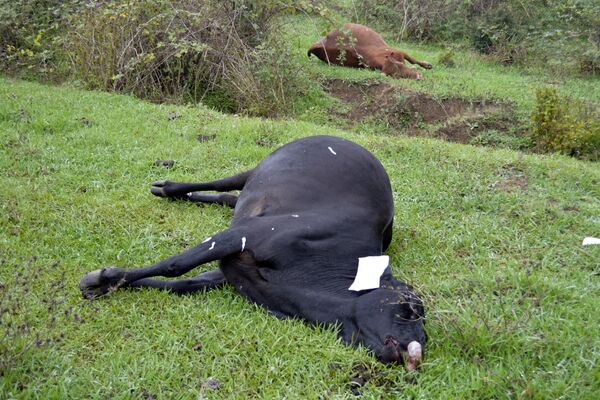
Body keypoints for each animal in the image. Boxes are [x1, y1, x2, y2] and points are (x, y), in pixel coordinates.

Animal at [79, 136, 426, 370]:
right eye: (410, 309)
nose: (421, 345)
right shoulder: (246, 235)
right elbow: (176, 265)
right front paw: (104, 279)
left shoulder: (230, 270)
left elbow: (182, 283)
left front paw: (116, 283)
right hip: (258, 168)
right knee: (223, 184)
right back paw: (170, 187)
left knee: (228, 198)